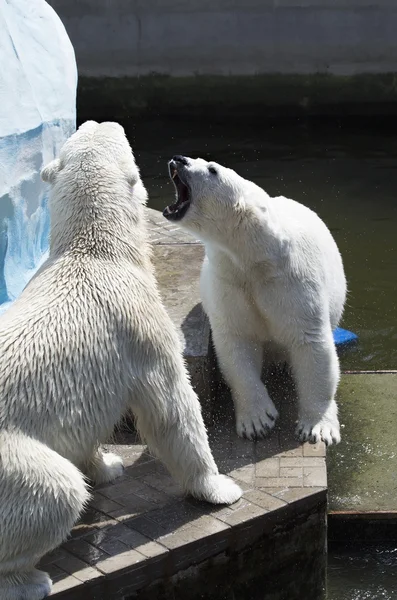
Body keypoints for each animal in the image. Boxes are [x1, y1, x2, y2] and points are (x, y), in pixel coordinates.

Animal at [0, 123, 241, 600]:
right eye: (118, 134)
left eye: (86, 128)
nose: (104, 122)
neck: (94, 251)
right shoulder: (142, 325)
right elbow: (172, 409)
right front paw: (219, 487)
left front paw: (108, 466)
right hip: (9, 462)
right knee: (55, 491)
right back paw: (28, 580)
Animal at [162, 155, 344, 446]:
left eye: (212, 169)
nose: (178, 159)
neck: (256, 257)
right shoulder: (228, 280)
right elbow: (237, 343)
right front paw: (257, 421)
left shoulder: (292, 281)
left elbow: (311, 343)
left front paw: (318, 428)